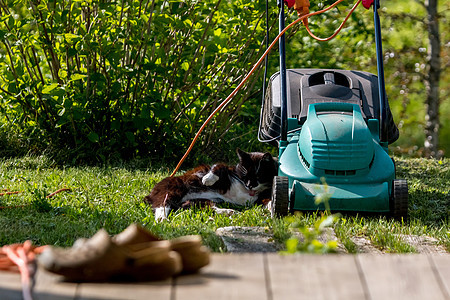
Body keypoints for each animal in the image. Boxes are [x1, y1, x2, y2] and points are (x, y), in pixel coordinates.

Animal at [144, 148, 278, 220]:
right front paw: (207, 179)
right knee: (162, 205)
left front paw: (272, 206)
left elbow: (267, 200)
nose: (250, 185)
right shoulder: (230, 170)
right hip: (172, 189)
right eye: (245, 175)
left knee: (206, 207)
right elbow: (218, 166)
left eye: (259, 176)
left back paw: (229, 211)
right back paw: (162, 219)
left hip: (199, 200)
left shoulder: (259, 198)